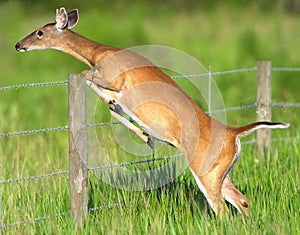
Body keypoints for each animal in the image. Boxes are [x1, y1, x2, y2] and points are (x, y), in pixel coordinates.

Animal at [15, 6, 290, 217]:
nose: (18, 44)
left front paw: (142, 133)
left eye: (40, 32)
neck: (97, 54)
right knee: (242, 201)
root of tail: (235, 133)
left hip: (206, 169)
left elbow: (89, 78)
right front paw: (143, 133)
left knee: (222, 209)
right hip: (223, 171)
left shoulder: (113, 77)